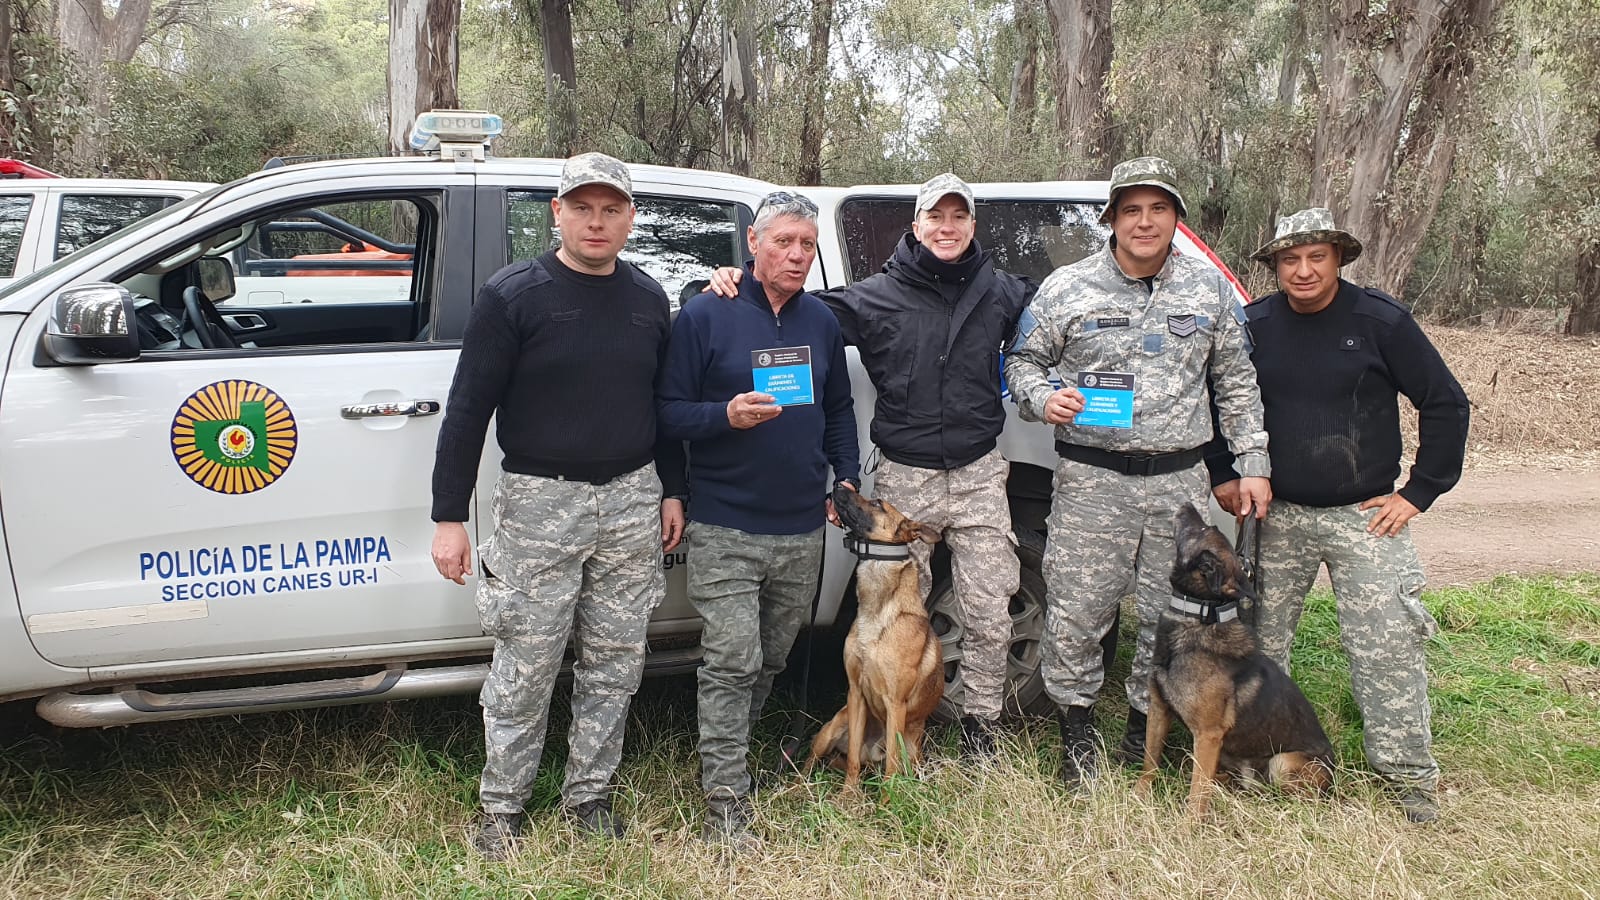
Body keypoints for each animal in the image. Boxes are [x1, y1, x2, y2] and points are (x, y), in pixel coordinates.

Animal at [806, 483, 940, 784]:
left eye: (878, 503)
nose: (838, 485)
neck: (877, 611)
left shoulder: (895, 705)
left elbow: (891, 768)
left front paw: (888, 797)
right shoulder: (856, 694)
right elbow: (853, 759)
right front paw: (849, 795)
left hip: (912, 749)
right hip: (834, 726)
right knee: (810, 763)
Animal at [1139, 499, 1337, 816]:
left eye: (1203, 529)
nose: (1187, 503)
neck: (1199, 616)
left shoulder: (1208, 735)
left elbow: (1197, 793)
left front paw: (1189, 824)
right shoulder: (1159, 709)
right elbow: (1149, 761)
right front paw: (1139, 796)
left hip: (1282, 762)